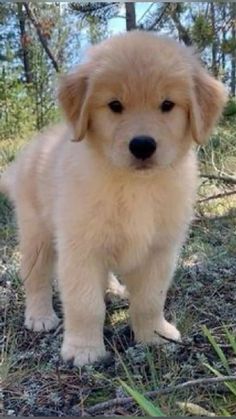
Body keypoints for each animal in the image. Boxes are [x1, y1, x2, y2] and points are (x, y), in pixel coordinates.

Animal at [0, 32, 227, 368]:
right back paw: (40, 315)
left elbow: (150, 299)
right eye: (115, 105)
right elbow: (85, 304)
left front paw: (155, 335)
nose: (143, 145)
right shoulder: (80, 248)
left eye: (167, 105)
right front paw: (83, 349)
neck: (135, 186)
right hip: (36, 233)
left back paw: (113, 289)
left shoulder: (159, 250)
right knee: (35, 276)